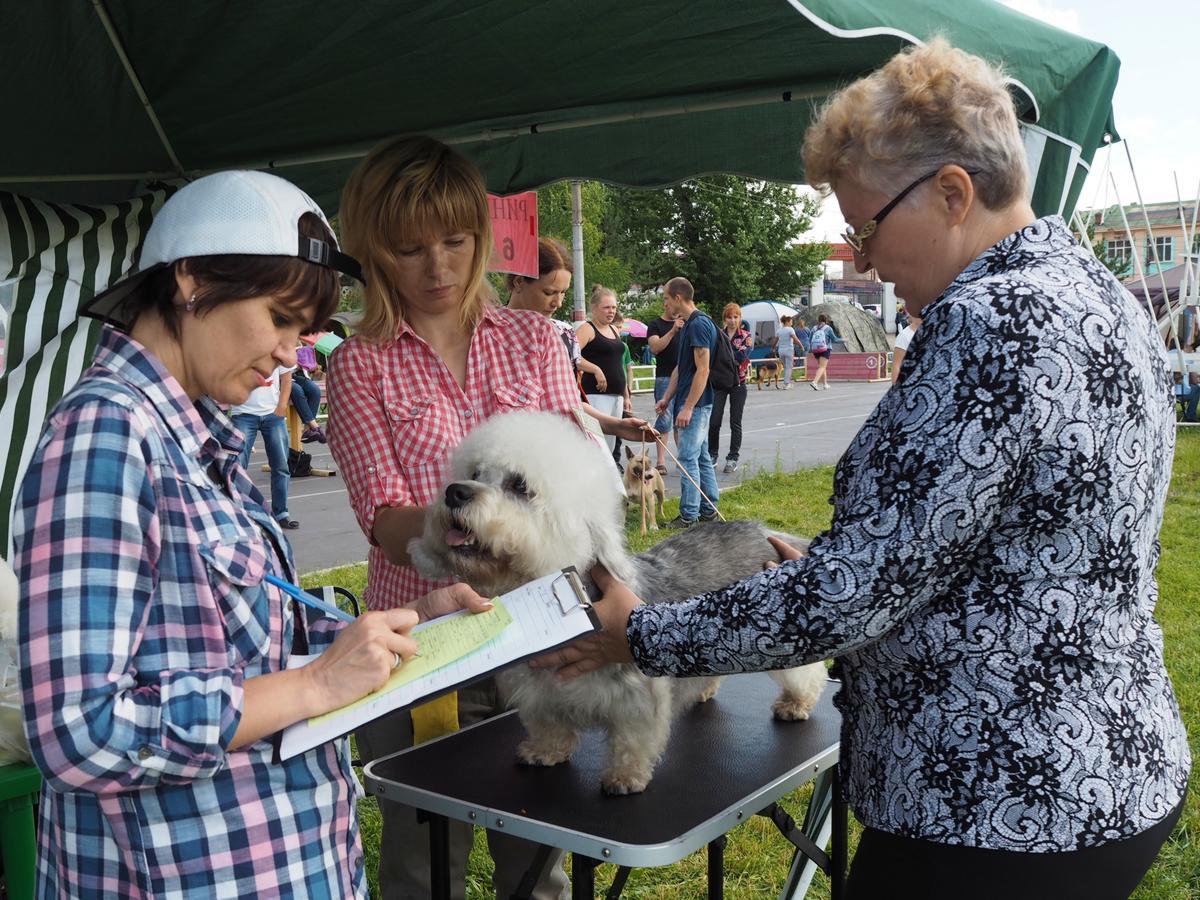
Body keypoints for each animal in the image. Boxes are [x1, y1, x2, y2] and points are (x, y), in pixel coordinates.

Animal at [410, 412, 825, 792]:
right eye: (476, 472)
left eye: (519, 485)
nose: (454, 492)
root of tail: (764, 531)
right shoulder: (539, 697)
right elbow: (549, 726)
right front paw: (545, 752)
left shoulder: (638, 700)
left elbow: (633, 741)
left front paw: (624, 778)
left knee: (808, 673)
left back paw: (796, 703)